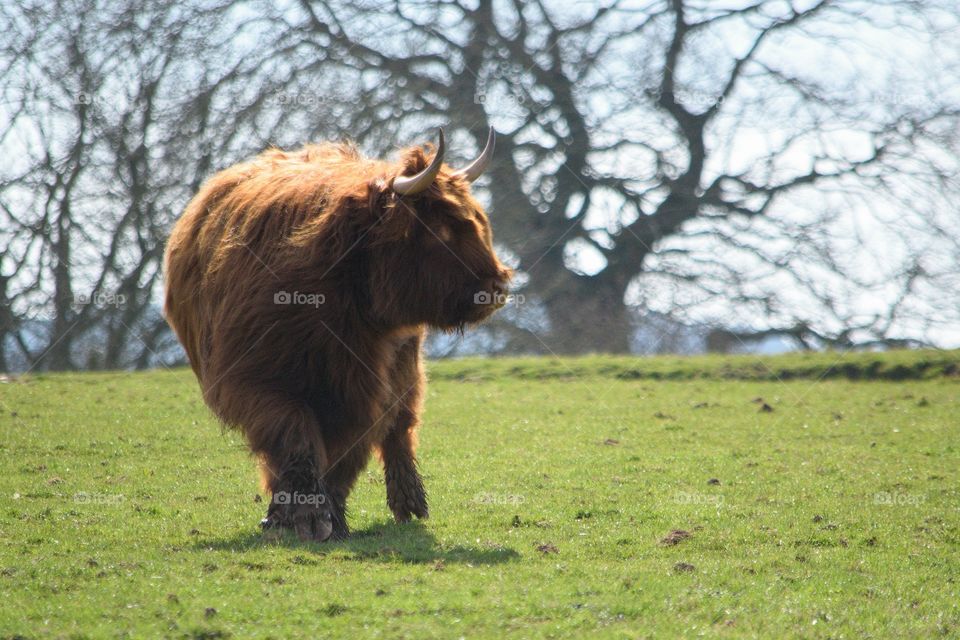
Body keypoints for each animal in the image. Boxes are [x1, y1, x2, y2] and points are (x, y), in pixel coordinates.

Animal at [163, 128, 511, 541]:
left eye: (479, 222)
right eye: (441, 230)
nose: (498, 286)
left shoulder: (369, 390)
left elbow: (349, 452)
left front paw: (331, 517)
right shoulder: (258, 381)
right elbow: (295, 438)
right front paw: (300, 517)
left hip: (405, 367)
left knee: (401, 428)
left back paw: (409, 501)